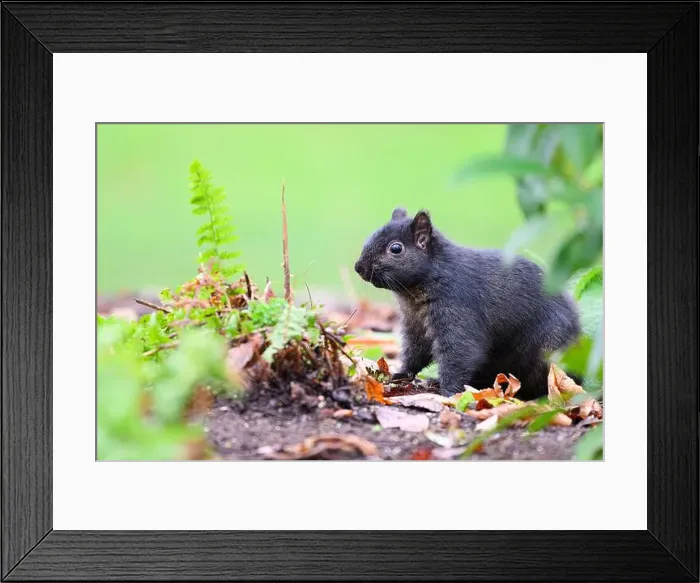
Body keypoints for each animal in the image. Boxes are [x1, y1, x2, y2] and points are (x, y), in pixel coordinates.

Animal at [354, 207, 582, 400]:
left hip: (549, 351)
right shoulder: (414, 324)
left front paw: (449, 394)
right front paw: (401, 373)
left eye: (396, 248)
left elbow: (460, 352)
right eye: (370, 237)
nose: (359, 267)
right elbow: (415, 352)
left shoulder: (457, 308)